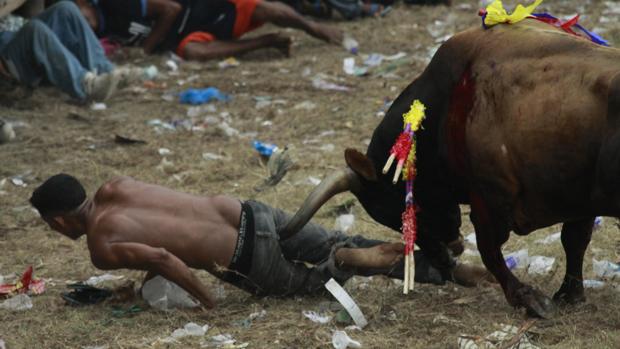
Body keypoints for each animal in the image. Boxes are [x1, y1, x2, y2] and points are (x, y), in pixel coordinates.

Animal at [282, 19, 620, 318]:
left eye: (402, 209)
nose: (444, 257)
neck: (446, 106)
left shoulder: (489, 201)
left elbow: (491, 252)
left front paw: (528, 299)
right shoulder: (577, 198)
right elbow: (574, 241)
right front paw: (569, 294)